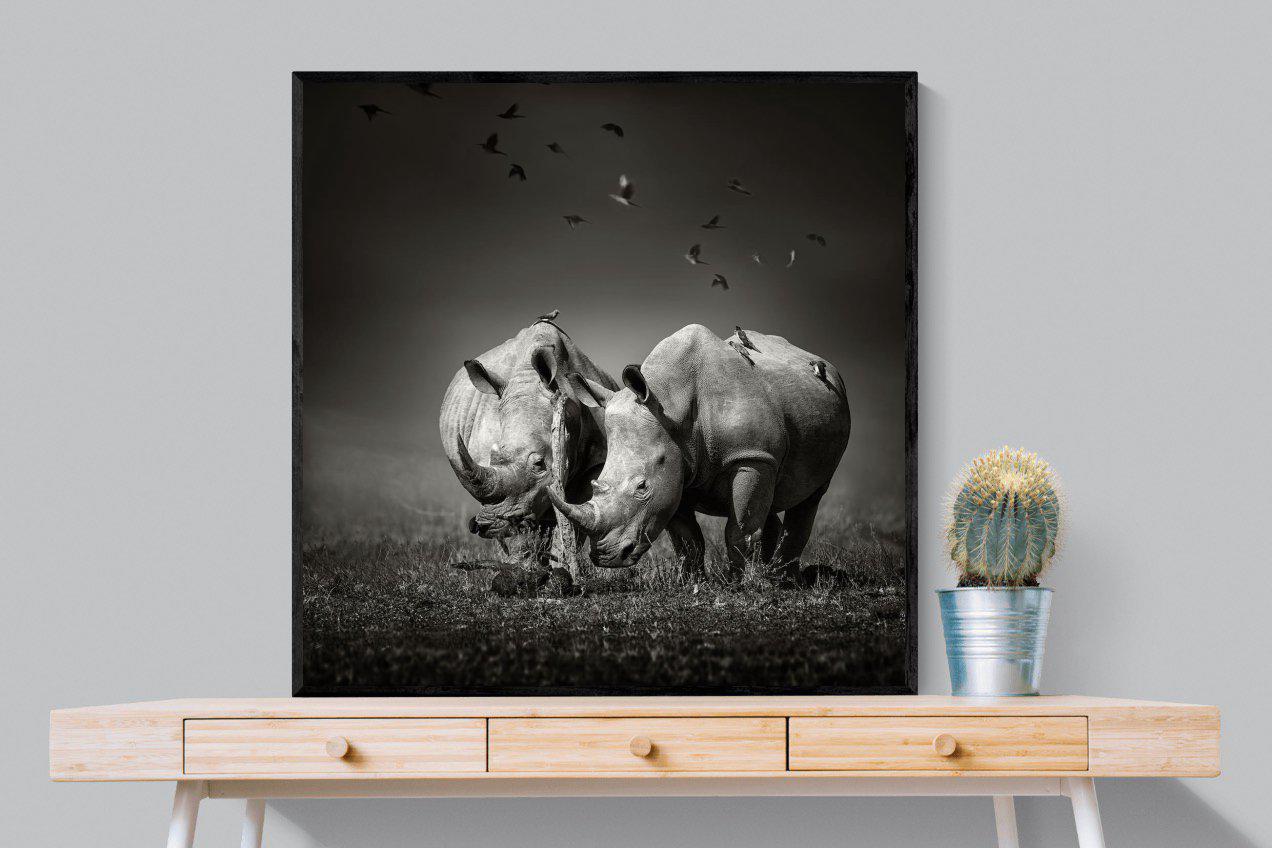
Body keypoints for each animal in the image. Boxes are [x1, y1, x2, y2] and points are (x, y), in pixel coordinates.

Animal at [550, 324, 850, 577]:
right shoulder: (676, 465)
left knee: (810, 497)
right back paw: (772, 573)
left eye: (642, 487)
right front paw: (693, 582)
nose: (605, 557)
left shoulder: (751, 456)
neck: (670, 404)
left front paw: (741, 584)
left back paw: (783, 579)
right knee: (771, 500)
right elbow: (688, 538)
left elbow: (740, 529)